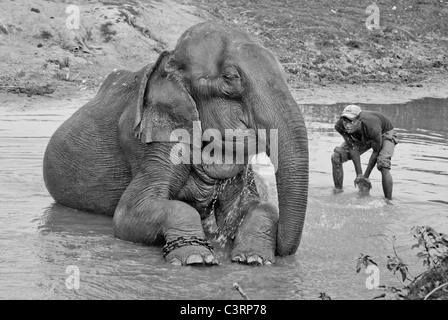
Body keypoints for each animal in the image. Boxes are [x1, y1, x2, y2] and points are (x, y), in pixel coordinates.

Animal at [43, 21, 308, 264]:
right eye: (230, 78)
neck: (169, 61)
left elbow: (256, 206)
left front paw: (253, 258)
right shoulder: (152, 140)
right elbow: (128, 213)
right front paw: (196, 257)